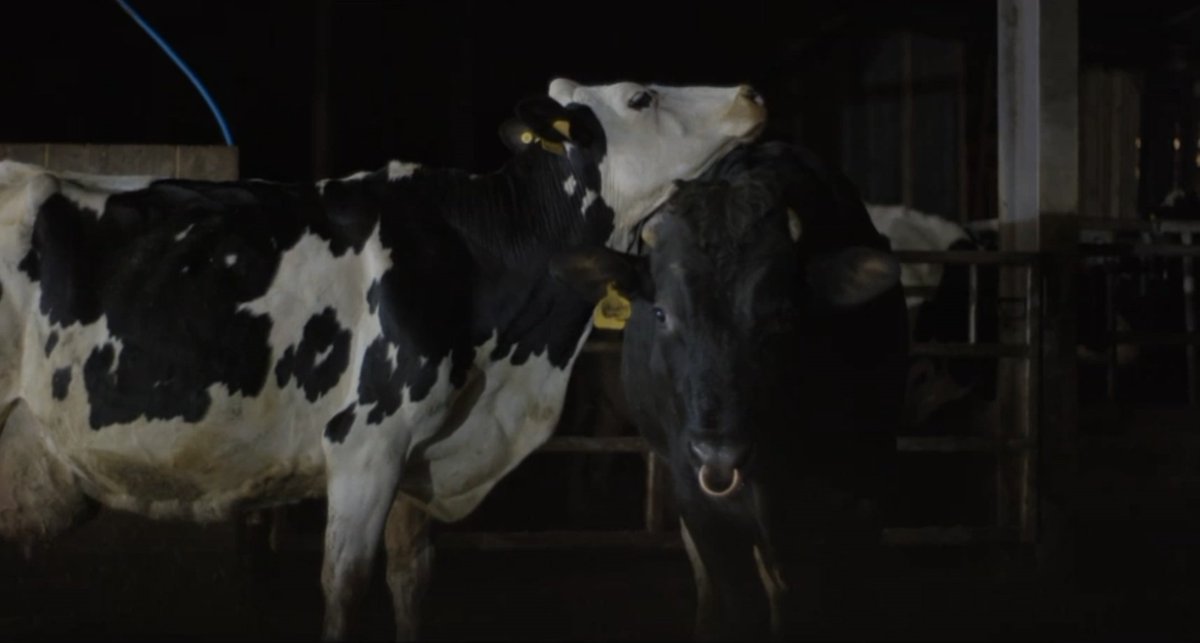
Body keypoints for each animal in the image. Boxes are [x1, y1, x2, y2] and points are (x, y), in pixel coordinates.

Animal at [0, 78, 766, 641]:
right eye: (641, 97)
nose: (749, 93)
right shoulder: (367, 443)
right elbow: (346, 587)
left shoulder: (418, 452)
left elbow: (410, 575)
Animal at [551, 141, 908, 640]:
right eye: (661, 313)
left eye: (782, 314)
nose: (719, 453)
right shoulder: (701, 499)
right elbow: (738, 591)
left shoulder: (865, 487)